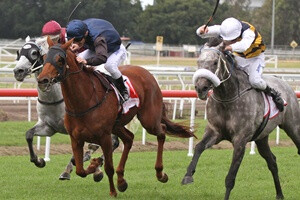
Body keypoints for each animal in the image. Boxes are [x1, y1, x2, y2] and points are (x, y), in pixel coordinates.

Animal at [13, 36, 119, 181]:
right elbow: (29, 134)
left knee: (113, 142)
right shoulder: (49, 127)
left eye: (34, 53)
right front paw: (39, 161)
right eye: (19, 51)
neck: (54, 99)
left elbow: (77, 155)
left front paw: (79, 168)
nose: (18, 71)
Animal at [37, 38, 195, 197]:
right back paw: (121, 180)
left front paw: (112, 190)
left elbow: (108, 167)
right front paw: (95, 166)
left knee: (161, 131)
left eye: (60, 59)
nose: (42, 80)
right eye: (44, 57)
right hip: (117, 125)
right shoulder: (76, 139)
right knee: (129, 138)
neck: (83, 102)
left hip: (148, 119)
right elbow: (80, 170)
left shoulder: (104, 137)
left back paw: (160, 173)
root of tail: (147, 73)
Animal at [182, 39, 300, 200]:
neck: (227, 98)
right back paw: (279, 195)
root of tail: (285, 84)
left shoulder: (240, 140)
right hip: (261, 137)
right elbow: (199, 147)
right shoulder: (215, 132)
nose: (201, 88)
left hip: (293, 126)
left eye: (214, 62)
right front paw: (188, 175)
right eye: (198, 61)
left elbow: (230, 178)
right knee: (272, 162)